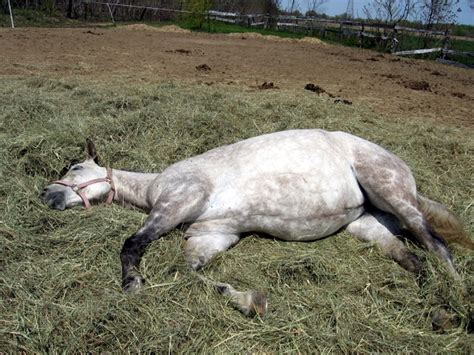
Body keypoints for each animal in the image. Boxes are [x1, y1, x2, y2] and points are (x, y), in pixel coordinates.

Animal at [41, 130, 470, 318]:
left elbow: (133, 243)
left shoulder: (179, 201)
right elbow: (188, 270)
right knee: (412, 256)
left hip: (391, 190)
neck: (154, 186)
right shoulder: (214, 234)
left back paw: (459, 298)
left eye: (75, 168)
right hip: (367, 223)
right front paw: (250, 301)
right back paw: (435, 306)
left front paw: (132, 283)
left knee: (435, 243)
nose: (46, 195)